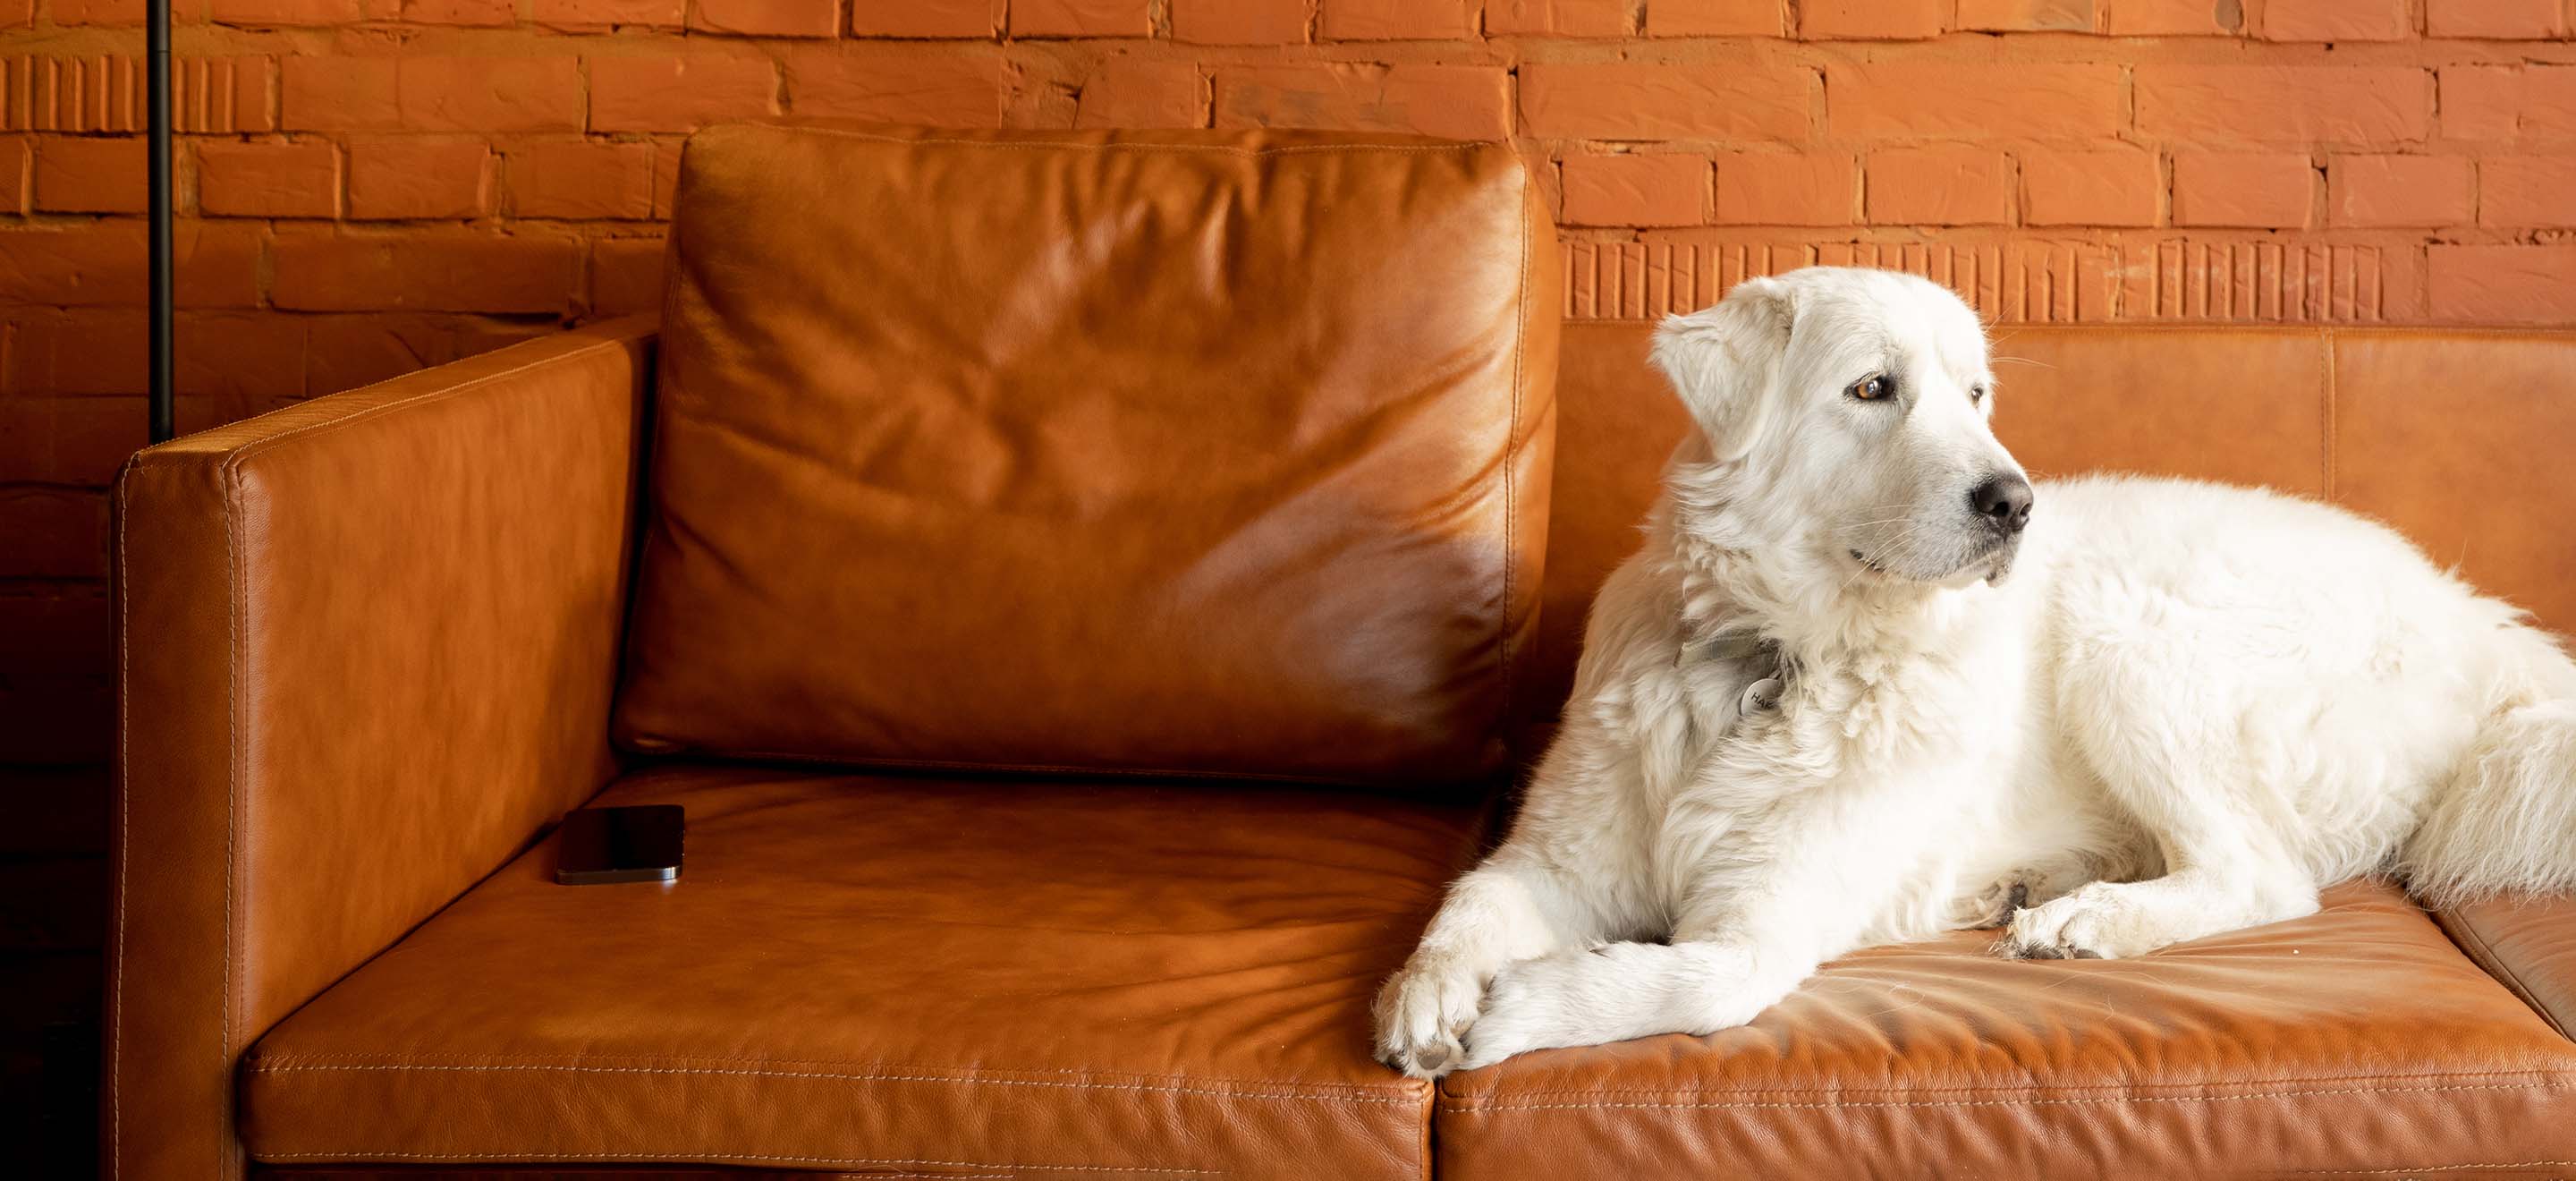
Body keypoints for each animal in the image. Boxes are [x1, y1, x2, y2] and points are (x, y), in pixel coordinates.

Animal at [1380, 268, 2576, 1077]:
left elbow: (1697, 982)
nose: (2016, 503)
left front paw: (1520, 1010)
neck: (1775, 653)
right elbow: (1467, 904)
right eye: (1873, 388)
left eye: (1975, 395)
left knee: (2266, 874)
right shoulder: (1554, 863)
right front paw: (1425, 998)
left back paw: (2087, 921)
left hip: (2126, 638)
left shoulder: (1766, 925)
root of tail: (2479, 621)